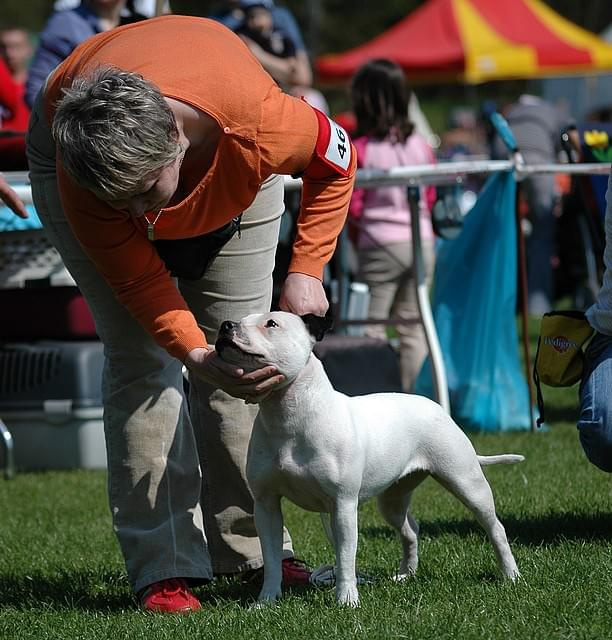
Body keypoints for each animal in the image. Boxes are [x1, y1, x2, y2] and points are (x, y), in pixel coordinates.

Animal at [215, 310, 520, 604]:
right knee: (410, 529)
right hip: (393, 499)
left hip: (466, 482)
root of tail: (434, 405)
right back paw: (406, 574)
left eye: (271, 323)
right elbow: (271, 558)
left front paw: (347, 599)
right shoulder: (266, 505)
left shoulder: (343, 505)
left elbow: (345, 557)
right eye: (241, 319)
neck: (287, 417)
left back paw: (510, 574)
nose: (226, 325)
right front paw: (266, 600)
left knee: (495, 527)